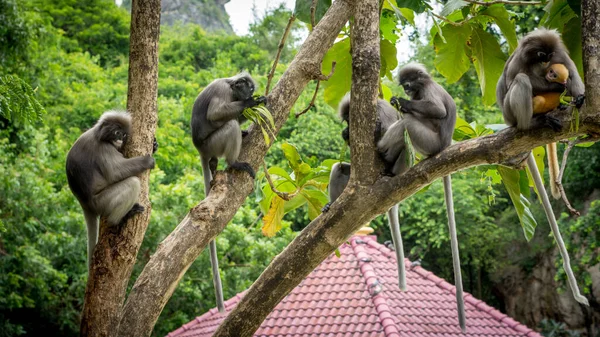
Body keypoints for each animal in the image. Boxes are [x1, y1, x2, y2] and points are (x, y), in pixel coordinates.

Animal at [191, 71, 266, 312]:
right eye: (248, 89)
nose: (248, 94)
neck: (231, 85)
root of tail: (200, 149)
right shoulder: (223, 91)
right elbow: (215, 114)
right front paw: (251, 104)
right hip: (214, 142)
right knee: (230, 124)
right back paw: (234, 162)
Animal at [326, 93, 410, 290]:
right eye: (347, 119)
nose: (349, 125)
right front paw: (346, 134)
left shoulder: (380, 114)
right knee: (338, 168)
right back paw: (330, 205)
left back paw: (389, 168)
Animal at [378, 63, 466, 330]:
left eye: (408, 83)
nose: (406, 89)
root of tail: (444, 146)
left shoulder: (426, 90)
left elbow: (437, 110)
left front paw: (401, 102)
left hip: (428, 141)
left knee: (408, 122)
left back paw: (382, 147)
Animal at [494, 28, 588, 306]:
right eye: (540, 56)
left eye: (548, 55)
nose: (547, 62)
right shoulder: (520, 61)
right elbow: (515, 79)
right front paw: (554, 86)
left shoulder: (561, 56)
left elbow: (571, 71)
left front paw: (575, 94)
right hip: (511, 114)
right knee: (521, 81)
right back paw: (534, 122)